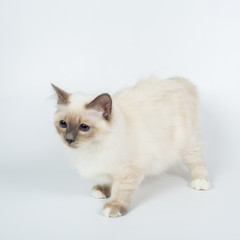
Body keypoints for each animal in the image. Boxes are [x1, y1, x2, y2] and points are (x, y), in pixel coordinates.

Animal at [52, 77, 210, 218]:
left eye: (84, 127)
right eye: (63, 124)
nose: (69, 139)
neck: (92, 148)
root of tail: (181, 81)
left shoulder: (128, 169)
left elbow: (121, 190)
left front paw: (113, 207)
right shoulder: (106, 165)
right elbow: (107, 180)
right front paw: (103, 190)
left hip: (185, 144)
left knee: (196, 159)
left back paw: (200, 182)